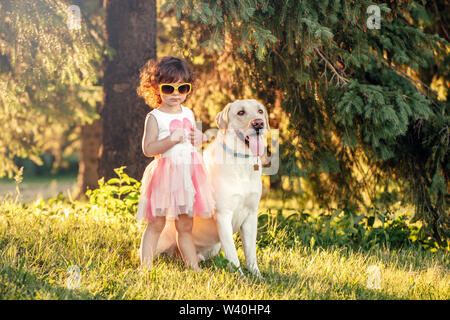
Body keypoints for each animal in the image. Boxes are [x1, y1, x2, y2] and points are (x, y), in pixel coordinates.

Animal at [156, 100, 268, 278]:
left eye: (260, 111)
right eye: (241, 112)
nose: (259, 123)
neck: (241, 162)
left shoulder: (251, 215)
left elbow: (251, 253)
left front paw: (257, 276)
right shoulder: (223, 216)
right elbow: (233, 254)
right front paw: (241, 278)